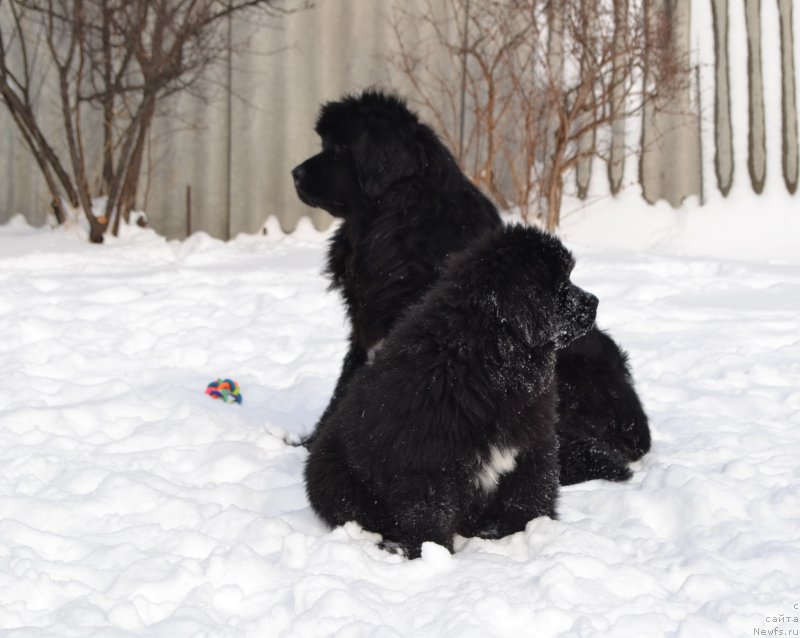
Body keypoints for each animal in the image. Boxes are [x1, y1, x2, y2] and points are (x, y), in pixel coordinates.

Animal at [294, 86, 648, 484]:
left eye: (340, 148)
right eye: (325, 143)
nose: (295, 173)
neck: (394, 224)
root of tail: (639, 430)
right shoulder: (364, 329)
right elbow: (345, 387)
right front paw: (312, 442)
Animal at [306, 226, 600, 560]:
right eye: (560, 284)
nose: (594, 302)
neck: (491, 358)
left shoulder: (532, 442)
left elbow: (531, 494)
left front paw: (533, 531)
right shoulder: (427, 460)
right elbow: (429, 514)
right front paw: (432, 554)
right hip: (332, 475)